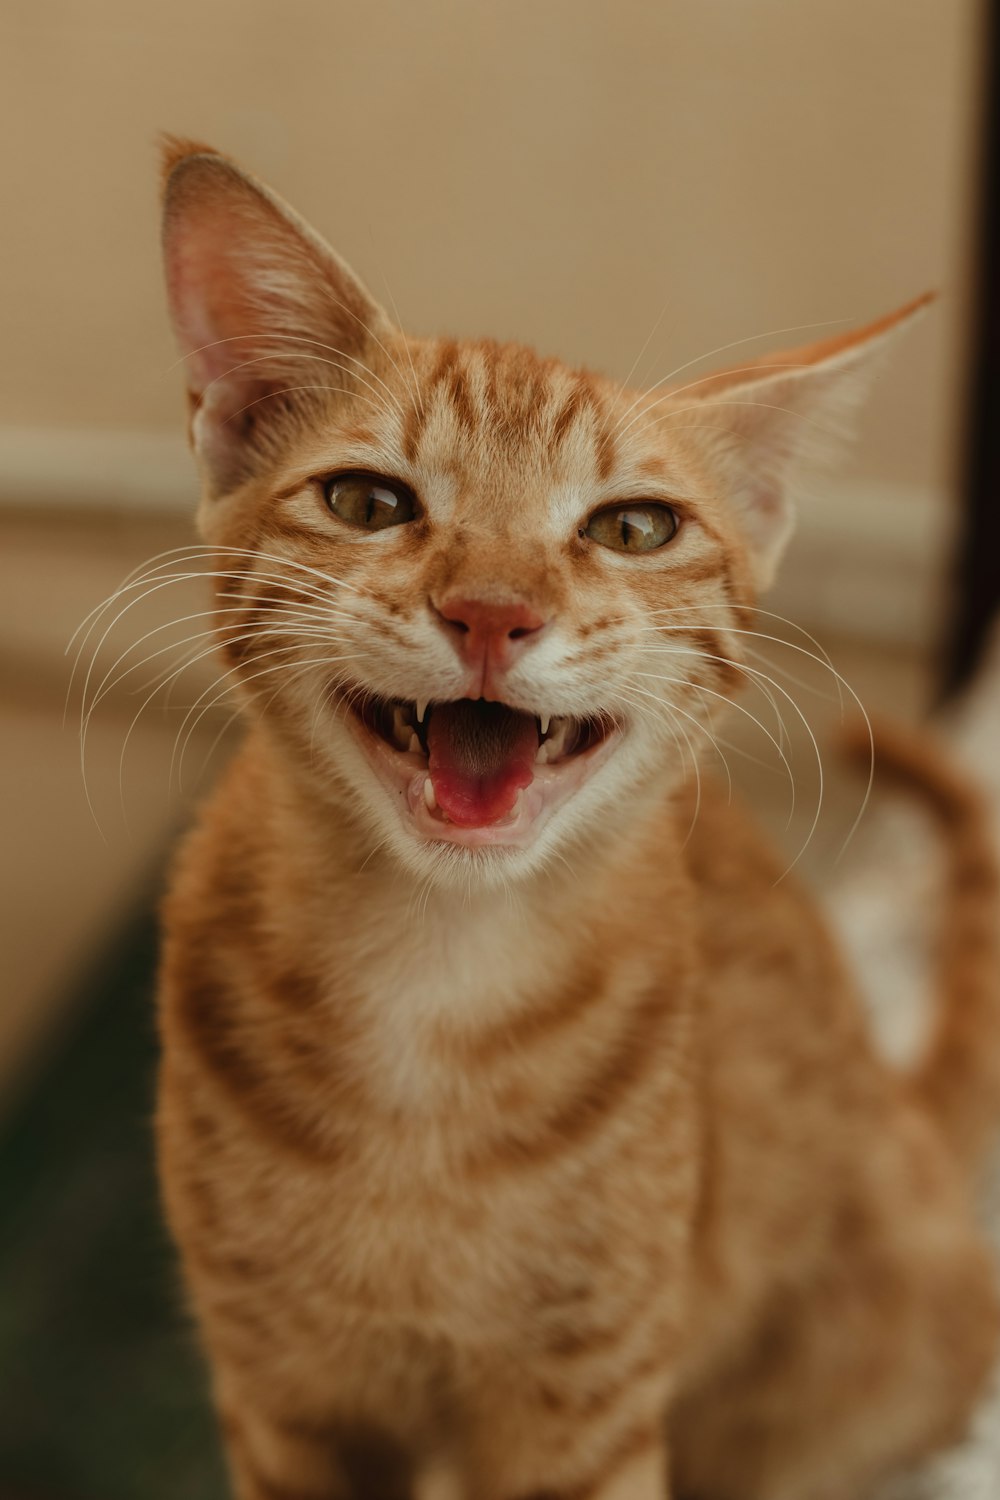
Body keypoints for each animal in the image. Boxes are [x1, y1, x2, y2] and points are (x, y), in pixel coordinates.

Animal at [154, 143, 1000, 1500]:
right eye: (367, 501)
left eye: (631, 527)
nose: (493, 610)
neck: (434, 985)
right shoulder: (284, 1395)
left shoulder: (584, 1407)